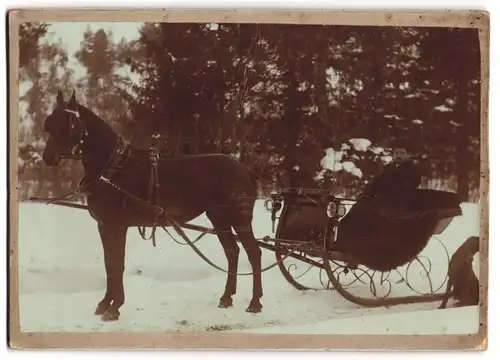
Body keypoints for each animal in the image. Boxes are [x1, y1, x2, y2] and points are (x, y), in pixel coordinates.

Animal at [41, 90, 264, 320]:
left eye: (70, 123)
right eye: (50, 124)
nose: (48, 158)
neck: (112, 169)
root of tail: (244, 168)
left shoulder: (116, 226)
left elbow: (117, 264)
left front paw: (114, 307)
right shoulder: (104, 226)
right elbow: (109, 264)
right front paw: (105, 303)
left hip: (240, 218)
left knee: (253, 252)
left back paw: (255, 302)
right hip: (218, 218)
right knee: (232, 252)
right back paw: (226, 298)